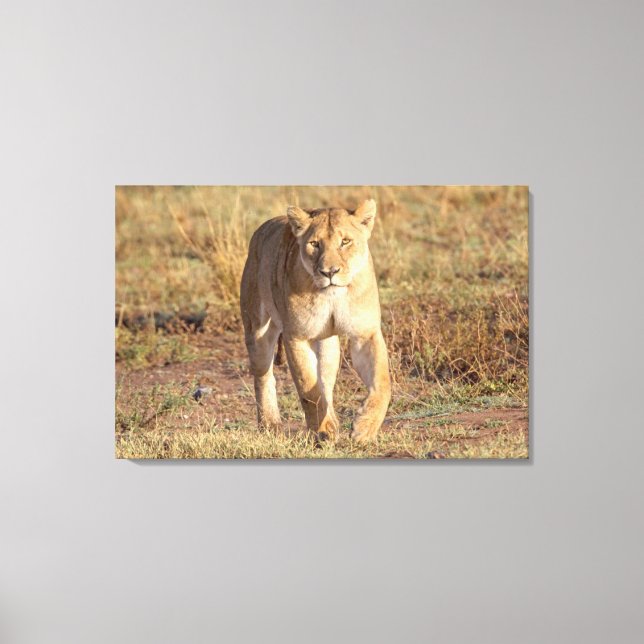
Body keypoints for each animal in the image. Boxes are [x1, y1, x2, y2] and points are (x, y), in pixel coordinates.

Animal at [240, 199, 391, 443]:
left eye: (345, 241)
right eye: (314, 244)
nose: (330, 272)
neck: (333, 296)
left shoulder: (365, 334)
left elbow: (382, 382)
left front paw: (364, 429)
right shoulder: (296, 337)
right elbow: (307, 388)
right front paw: (322, 430)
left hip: (328, 343)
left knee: (325, 381)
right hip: (257, 332)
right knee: (263, 376)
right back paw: (271, 424)